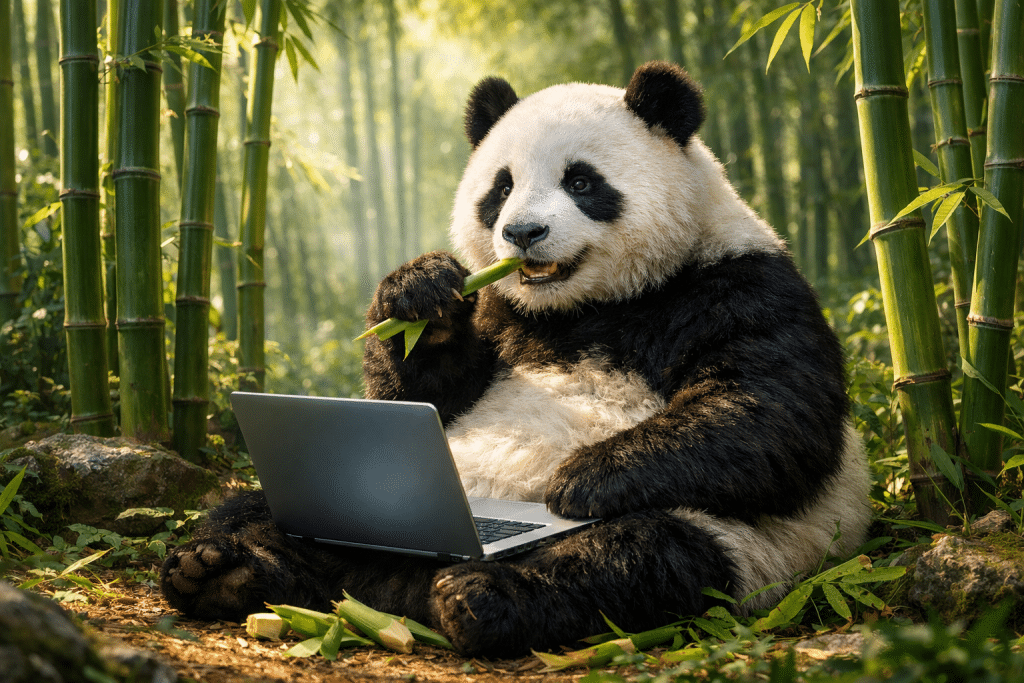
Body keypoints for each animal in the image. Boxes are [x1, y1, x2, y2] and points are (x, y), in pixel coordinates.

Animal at [160, 61, 871, 658]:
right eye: (500, 189)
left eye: (581, 181)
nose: (523, 233)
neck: (583, 307)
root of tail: (393, 583)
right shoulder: (499, 313)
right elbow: (419, 395)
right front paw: (419, 292)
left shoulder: (738, 282)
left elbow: (769, 413)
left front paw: (581, 476)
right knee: (242, 509)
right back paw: (217, 568)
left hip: (747, 545)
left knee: (637, 559)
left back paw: (481, 598)